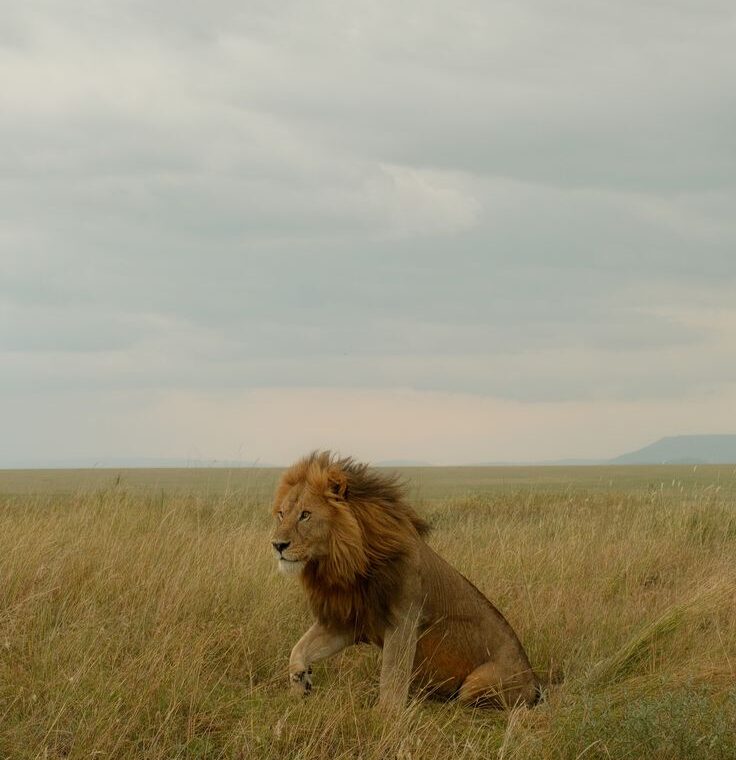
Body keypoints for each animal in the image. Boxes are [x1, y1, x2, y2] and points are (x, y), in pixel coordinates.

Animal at [270, 451, 540, 710]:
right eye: (281, 514)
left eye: (305, 515)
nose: (277, 545)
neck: (347, 562)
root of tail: (535, 685)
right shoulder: (347, 621)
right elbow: (298, 649)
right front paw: (300, 683)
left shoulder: (403, 620)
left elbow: (392, 679)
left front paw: (385, 716)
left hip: (477, 683)